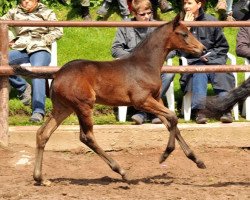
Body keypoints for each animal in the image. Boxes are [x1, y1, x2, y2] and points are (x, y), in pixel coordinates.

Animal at [12, 14, 206, 185]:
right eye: (184, 34)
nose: (203, 49)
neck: (145, 64)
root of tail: (57, 73)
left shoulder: (156, 99)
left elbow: (172, 124)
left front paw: (197, 160)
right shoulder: (141, 101)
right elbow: (173, 118)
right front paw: (164, 155)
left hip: (63, 108)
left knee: (42, 134)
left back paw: (40, 178)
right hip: (83, 106)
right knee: (86, 137)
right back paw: (121, 171)